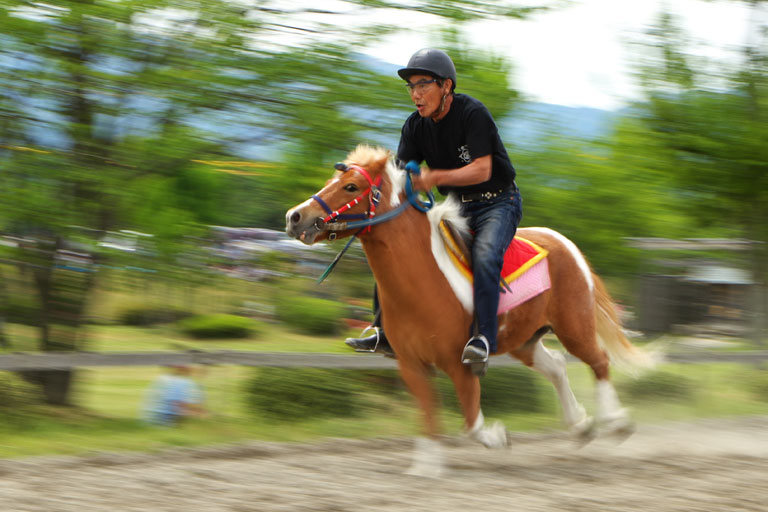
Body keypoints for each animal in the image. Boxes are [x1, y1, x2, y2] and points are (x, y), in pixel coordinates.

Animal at [284, 144, 652, 476]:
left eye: (350, 186)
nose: (295, 217)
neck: (423, 279)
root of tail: (566, 244)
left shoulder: (461, 365)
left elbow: (472, 423)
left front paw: (499, 437)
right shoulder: (412, 365)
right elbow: (429, 414)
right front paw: (426, 467)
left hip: (574, 326)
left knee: (599, 361)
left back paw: (616, 422)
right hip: (525, 339)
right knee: (558, 367)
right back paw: (581, 425)